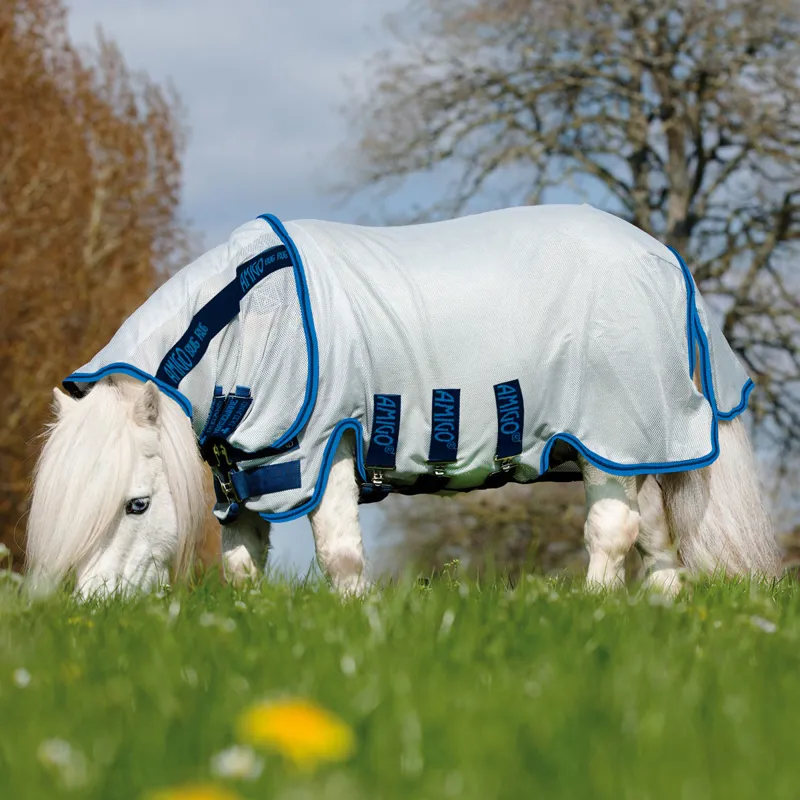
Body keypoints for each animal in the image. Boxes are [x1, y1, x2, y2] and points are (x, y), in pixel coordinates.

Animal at [26, 203, 780, 596]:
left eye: (137, 504)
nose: (96, 610)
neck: (247, 317)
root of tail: (665, 259)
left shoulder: (322, 451)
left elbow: (339, 556)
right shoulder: (247, 477)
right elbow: (243, 568)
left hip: (608, 440)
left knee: (613, 532)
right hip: (635, 450)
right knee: (655, 540)